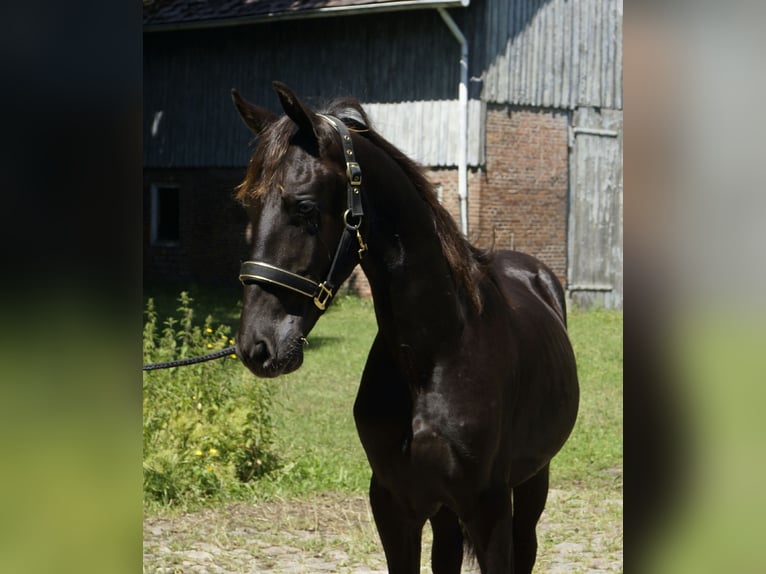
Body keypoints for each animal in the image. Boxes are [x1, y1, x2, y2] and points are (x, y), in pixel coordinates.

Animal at [231, 81, 579, 574]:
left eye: (305, 208)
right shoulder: (394, 504)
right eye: (248, 205)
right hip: (446, 510)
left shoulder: (488, 506)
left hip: (532, 481)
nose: (256, 346)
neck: (436, 354)